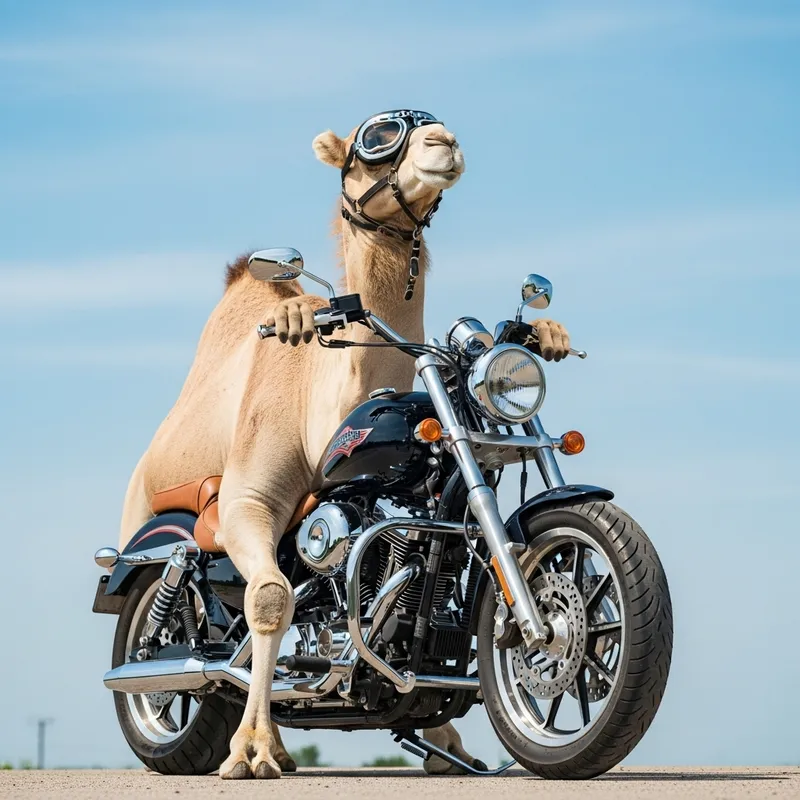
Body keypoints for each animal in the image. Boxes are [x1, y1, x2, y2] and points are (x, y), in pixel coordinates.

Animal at [119, 111, 571, 779]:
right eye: (375, 138)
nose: (444, 142)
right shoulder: (248, 504)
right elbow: (272, 601)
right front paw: (248, 752)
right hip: (156, 545)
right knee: (172, 639)